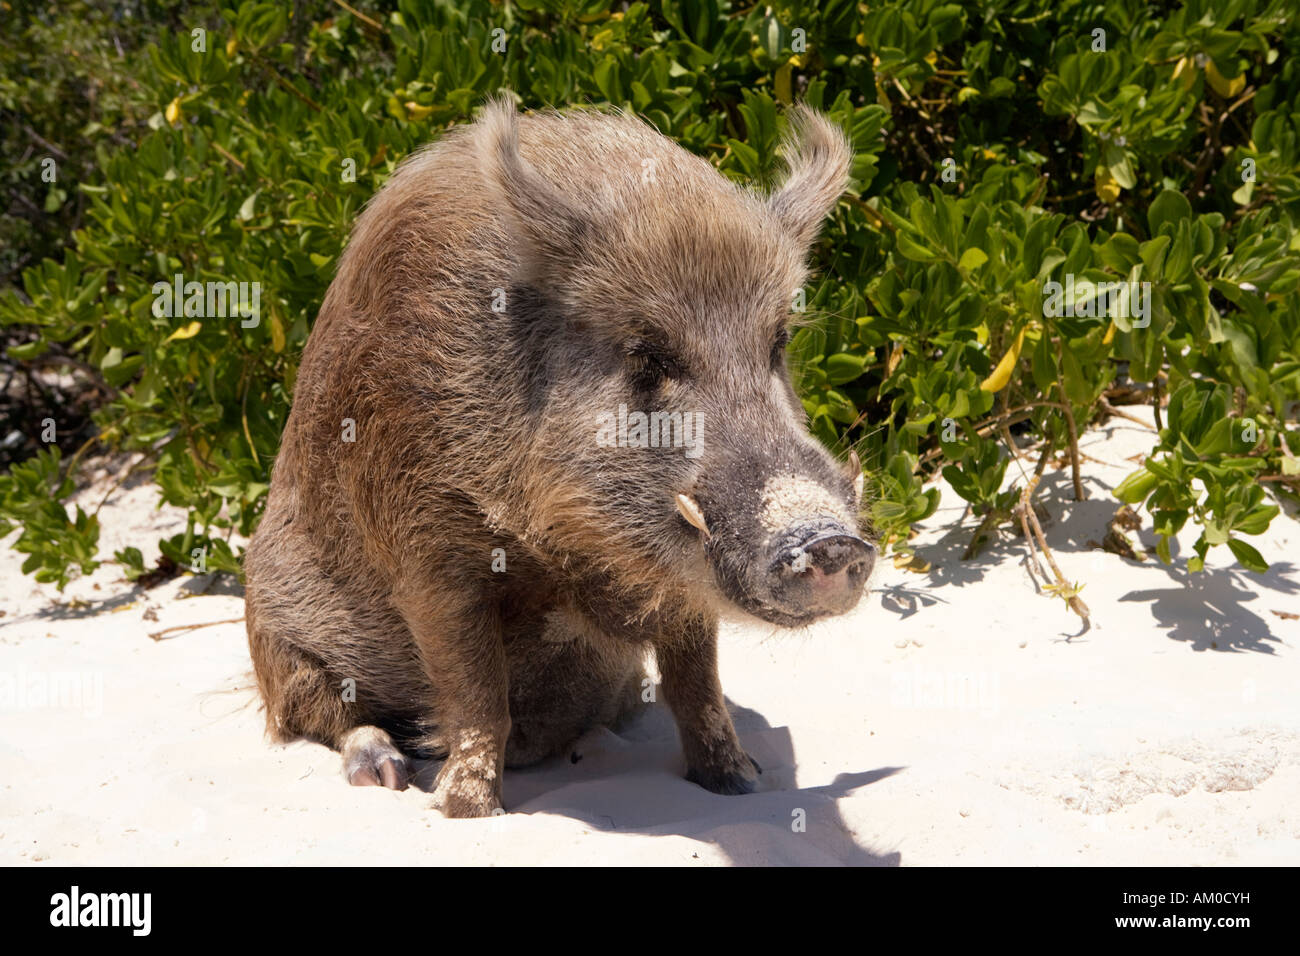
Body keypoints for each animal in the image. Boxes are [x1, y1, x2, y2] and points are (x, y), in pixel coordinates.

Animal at [243, 97, 874, 818]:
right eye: (646, 356)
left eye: (777, 343)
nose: (829, 540)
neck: (576, 560)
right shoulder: (425, 552)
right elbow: (476, 692)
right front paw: (466, 813)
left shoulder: (680, 587)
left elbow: (698, 685)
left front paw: (743, 784)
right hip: (272, 633)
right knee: (322, 716)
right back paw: (386, 772)